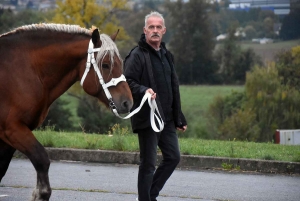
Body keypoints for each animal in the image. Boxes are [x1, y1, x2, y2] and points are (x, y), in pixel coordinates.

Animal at [0, 22, 132, 200]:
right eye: (105, 65)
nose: (127, 102)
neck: (25, 70)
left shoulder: (9, 136)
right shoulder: (12, 129)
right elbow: (41, 159)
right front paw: (41, 193)